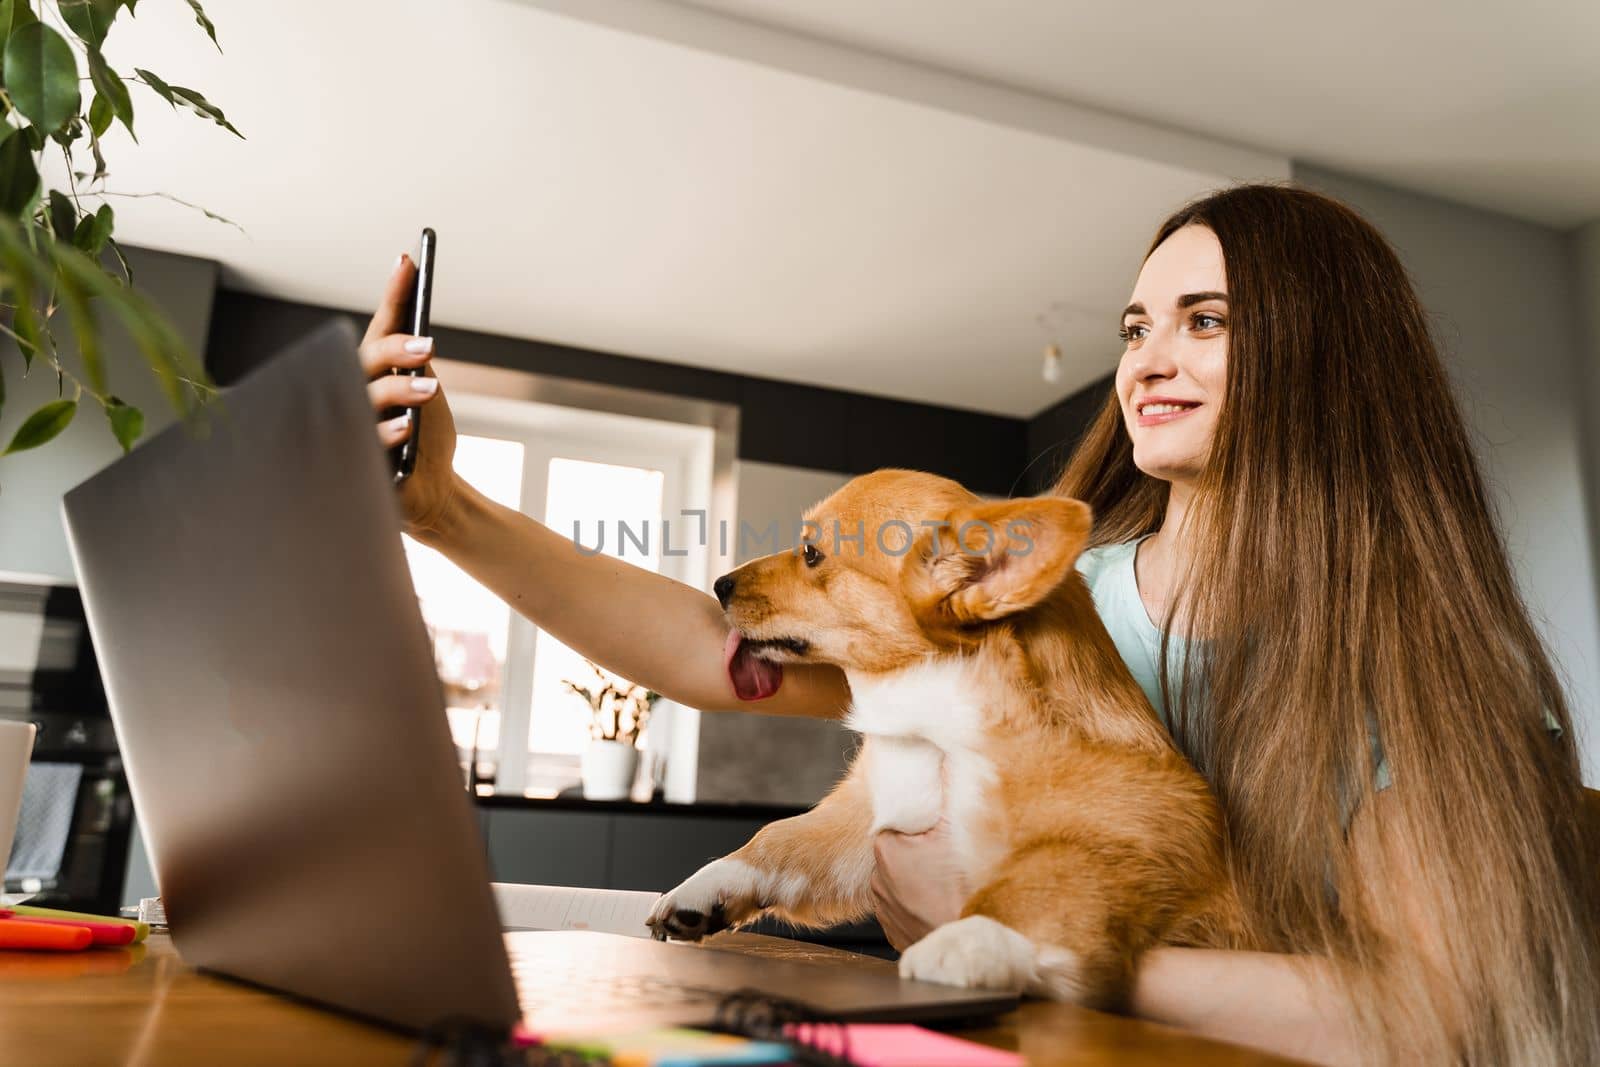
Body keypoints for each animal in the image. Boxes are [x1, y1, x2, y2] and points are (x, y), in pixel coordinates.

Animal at [643, 470, 1241, 1011]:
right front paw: (704, 887)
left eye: (811, 554)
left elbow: (1039, 883)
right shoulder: (866, 822)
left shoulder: (1135, 844)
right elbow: (778, 838)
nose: (719, 585)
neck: (934, 727)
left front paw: (969, 939)